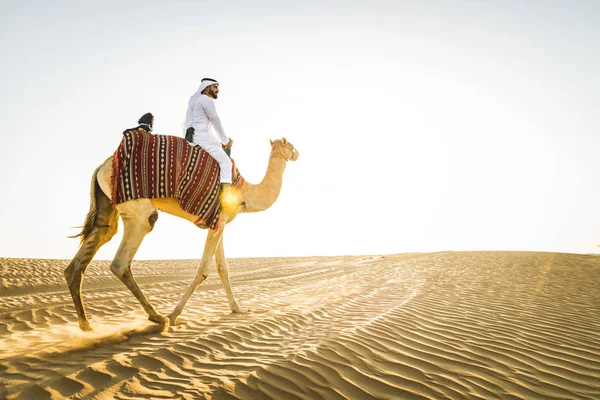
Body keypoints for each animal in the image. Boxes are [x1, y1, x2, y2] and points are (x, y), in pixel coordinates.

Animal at [64, 138, 298, 332]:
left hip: (106, 205)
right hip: (138, 210)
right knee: (123, 259)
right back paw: (158, 317)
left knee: (97, 240)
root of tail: (100, 167)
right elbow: (204, 270)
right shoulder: (219, 219)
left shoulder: (219, 223)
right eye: (289, 144)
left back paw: (86, 325)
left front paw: (237, 309)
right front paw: (174, 315)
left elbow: (223, 268)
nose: (297, 153)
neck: (246, 194)